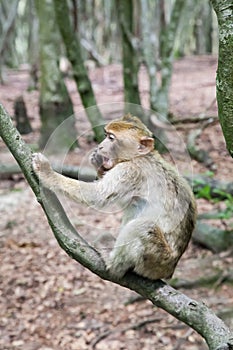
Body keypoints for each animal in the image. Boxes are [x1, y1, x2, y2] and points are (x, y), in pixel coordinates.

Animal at [32, 113, 197, 280]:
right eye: (105, 135)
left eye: (111, 138)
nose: (100, 146)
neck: (138, 157)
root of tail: (170, 270)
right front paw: (98, 162)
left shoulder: (130, 171)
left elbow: (97, 196)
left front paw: (46, 172)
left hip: (156, 261)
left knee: (143, 227)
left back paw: (113, 263)